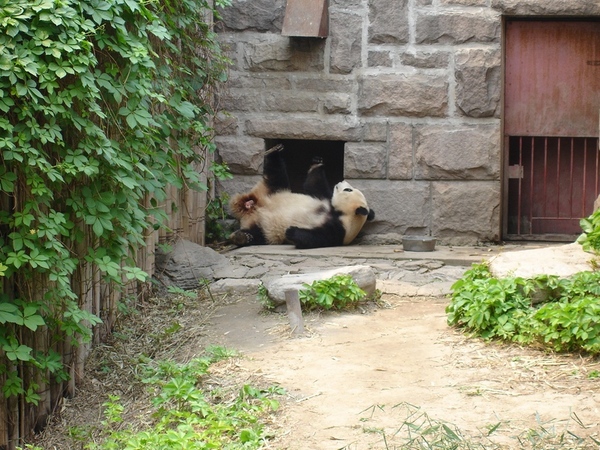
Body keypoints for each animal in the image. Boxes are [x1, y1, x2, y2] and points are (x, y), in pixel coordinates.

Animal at [227, 144, 372, 250]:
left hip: (266, 229)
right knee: (276, 177)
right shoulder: (325, 199)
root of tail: (250, 209)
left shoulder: (339, 231)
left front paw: (291, 231)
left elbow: (314, 239)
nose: (341, 181)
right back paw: (274, 151)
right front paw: (317, 162)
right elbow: (313, 186)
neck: (340, 214)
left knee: (258, 235)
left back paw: (242, 237)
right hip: (273, 191)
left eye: (348, 189)